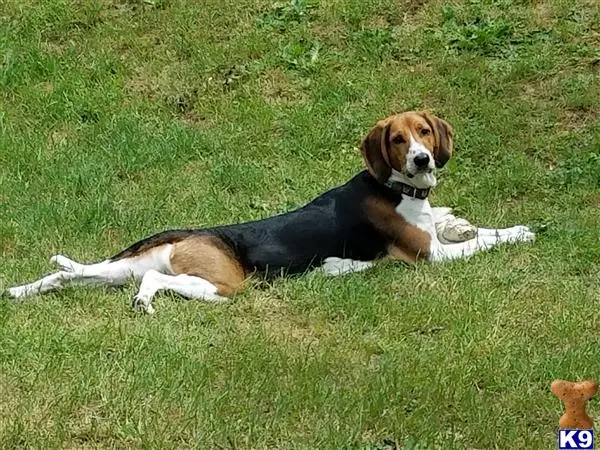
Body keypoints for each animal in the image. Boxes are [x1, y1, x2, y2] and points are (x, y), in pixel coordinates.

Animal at [5, 111, 536, 312]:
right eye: (397, 140)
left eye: (424, 132)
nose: (422, 159)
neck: (396, 186)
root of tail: (186, 233)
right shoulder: (429, 257)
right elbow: (485, 239)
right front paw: (522, 232)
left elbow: (467, 226)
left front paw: (463, 220)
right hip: (220, 284)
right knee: (152, 281)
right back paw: (144, 301)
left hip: (119, 270)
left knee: (69, 276)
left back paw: (22, 289)